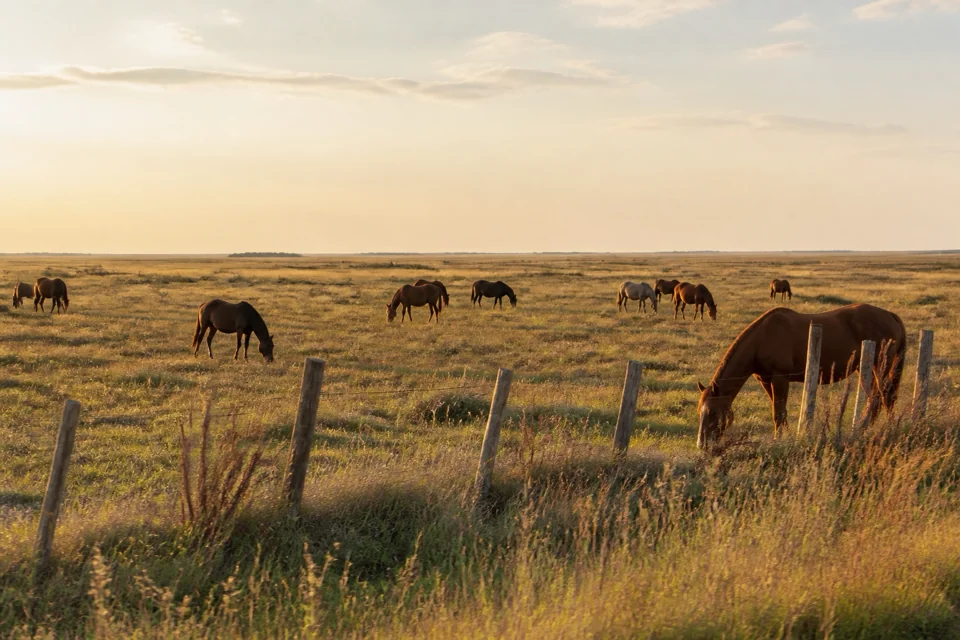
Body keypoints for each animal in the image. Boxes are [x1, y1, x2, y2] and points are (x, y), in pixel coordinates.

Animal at [695, 304, 906, 449]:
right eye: (700, 412)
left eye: (713, 412)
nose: (702, 444)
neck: (761, 339)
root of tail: (889, 315)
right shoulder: (766, 381)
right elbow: (779, 413)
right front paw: (784, 436)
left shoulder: (780, 378)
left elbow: (778, 412)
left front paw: (779, 439)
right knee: (881, 398)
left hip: (878, 368)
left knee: (883, 397)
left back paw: (870, 429)